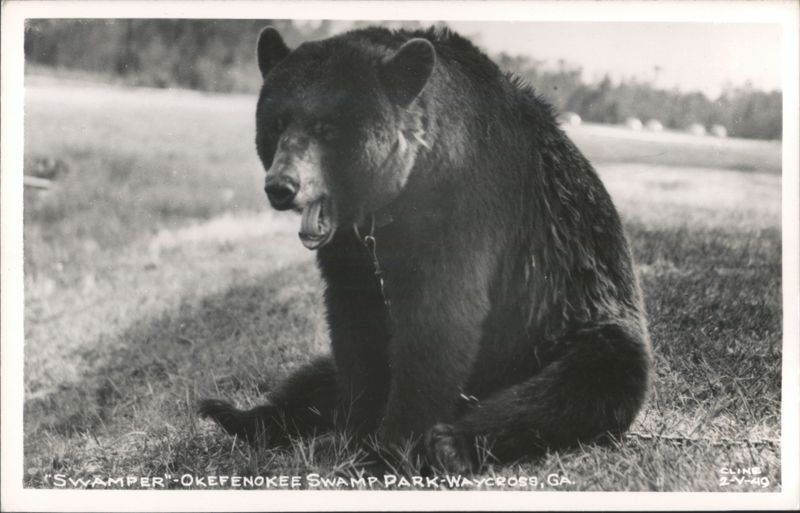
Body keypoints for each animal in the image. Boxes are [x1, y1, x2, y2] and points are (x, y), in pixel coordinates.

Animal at [198, 25, 651, 473]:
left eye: (326, 128)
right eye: (276, 124)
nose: (281, 186)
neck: (396, 195)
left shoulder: (464, 203)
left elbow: (439, 320)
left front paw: (389, 448)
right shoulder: (351, 249)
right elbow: (354, 329)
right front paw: (354, 433)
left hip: (578, 330)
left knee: (573, 391)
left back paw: (450, 443)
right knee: (316, 377)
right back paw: (233, 415)